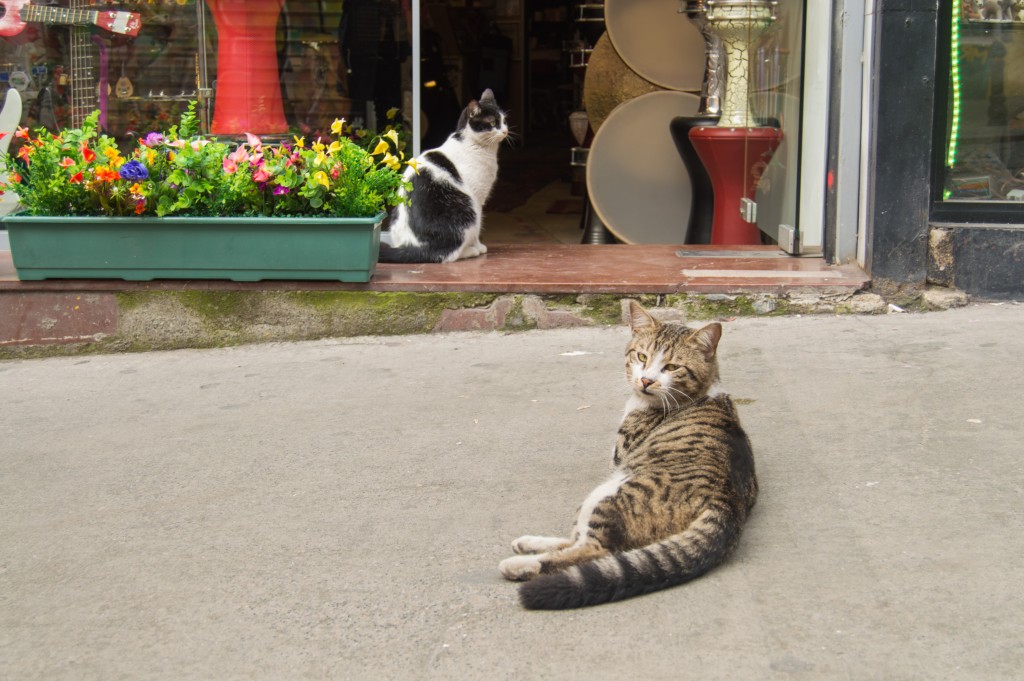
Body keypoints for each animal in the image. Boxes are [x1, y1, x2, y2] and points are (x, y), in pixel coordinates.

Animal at [380, 88, 507, 262]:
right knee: (448, 255)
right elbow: (477, 232)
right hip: (469, 210)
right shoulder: (477, 197)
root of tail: (417, 248)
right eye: (493, 123)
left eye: (504, 120)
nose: (506, 131)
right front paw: (479, 246)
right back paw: (471, 251)